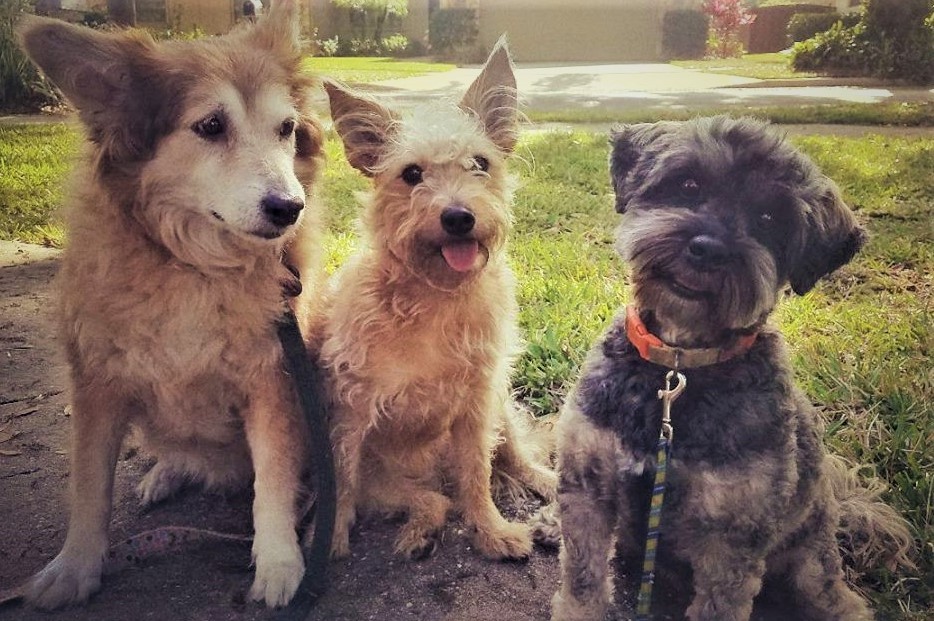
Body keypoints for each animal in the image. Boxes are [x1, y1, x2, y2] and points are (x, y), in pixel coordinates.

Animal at [17, 1, 326, 612]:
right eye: (210, 126)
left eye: (286, 129)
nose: (289, 208)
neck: (194, 268)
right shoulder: (98, 381)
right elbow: (89, 483)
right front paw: (74, 566)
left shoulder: (273, 377)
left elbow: (273, 479)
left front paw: (279, 562)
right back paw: (165, 473)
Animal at [322, 40, 556, 560]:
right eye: (411, 174)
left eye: (480, 163)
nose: (458, 217)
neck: (434, 296)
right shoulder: (350, 409)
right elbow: (342, 479)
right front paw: (328, 542)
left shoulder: (476, 405)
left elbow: (479, 476)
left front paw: (491, 530)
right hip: (387, 484)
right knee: (435, 500)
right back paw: (419, 530)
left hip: (499, 406)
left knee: (509, 458)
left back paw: (546, 482)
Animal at [540, 117, 916, 620]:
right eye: (688, 184)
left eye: (770, 218)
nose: (708, 248)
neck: (677, 367)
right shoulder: (589, 484)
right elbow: (582, 580)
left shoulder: (731, 537)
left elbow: (719, 603)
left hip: (812, 566)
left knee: (832, 594)